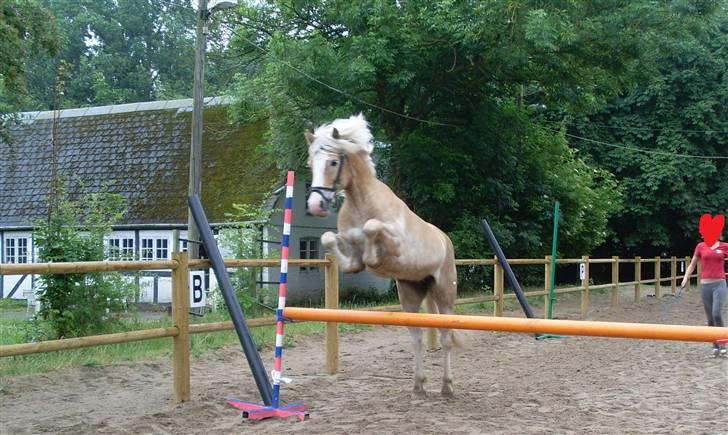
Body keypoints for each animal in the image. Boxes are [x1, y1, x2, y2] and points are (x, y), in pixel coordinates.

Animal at [304, 113, 458, 398]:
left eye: (333, 162)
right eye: (310, 164)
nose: (315, 206)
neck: (360, 201)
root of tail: (445, 239)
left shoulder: (395, 242)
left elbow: (371, 227)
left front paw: (373, 258)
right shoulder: (346, 247)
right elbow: (330, 239)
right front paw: (362, 260)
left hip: (444, 293)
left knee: (446, 337)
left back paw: (447, 386)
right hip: (409, 293)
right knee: (417, 339)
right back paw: (418, 386)